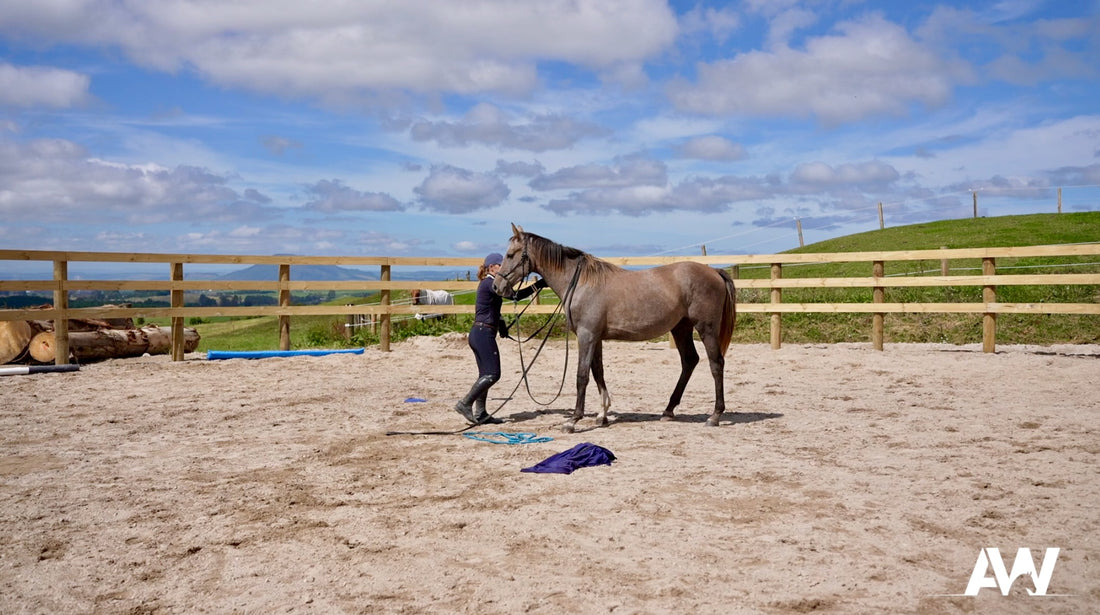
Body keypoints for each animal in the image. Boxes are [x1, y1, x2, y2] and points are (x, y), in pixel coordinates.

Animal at [492, 222, 734, 433]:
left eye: (511, 255)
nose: (497, 286)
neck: (581, 282)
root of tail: (714, 272)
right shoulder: (596, 337)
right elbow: (598, 372)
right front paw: (602, 415)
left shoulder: (587, 336)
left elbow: (582, 376)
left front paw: (573, 420)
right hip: (681, 328)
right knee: (689, 361)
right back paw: (668, 410)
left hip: (706, 328)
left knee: (716, 364)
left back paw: (714, 415)